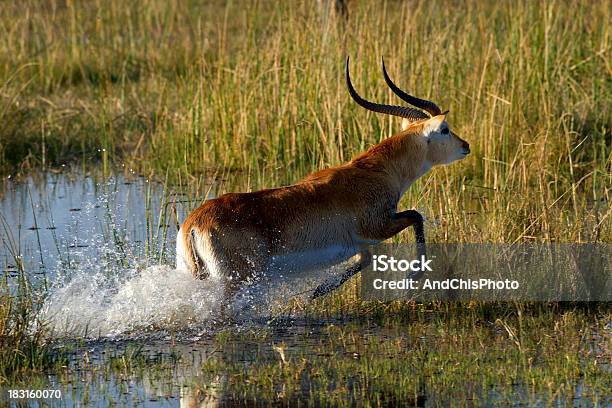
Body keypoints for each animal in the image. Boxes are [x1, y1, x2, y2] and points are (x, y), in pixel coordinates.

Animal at [175, 56, 470, 300]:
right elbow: (416, 217)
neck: (376, 171)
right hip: (238, 282)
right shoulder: (378, 227)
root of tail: (193, 223)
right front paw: (412, 277)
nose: (466, 146)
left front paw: (318, 291)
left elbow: (366, 258)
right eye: (445, 129)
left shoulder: (359, 243)